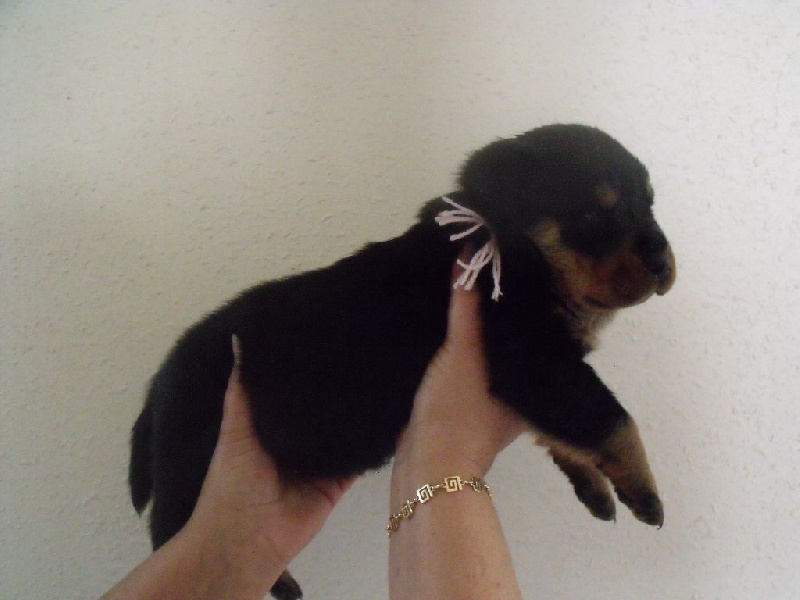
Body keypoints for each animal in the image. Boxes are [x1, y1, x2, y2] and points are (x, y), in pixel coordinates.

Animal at [129, 124, 676, 600]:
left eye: (650, 203)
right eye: (593, 216)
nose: (665, 265)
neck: (513, 249)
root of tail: (157, 387)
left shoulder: (543, 376)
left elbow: (566, 432)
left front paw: (595, 488)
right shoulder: (531, 358)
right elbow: (612, 417)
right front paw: (646, 492)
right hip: (192, 471)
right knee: (172, 535)